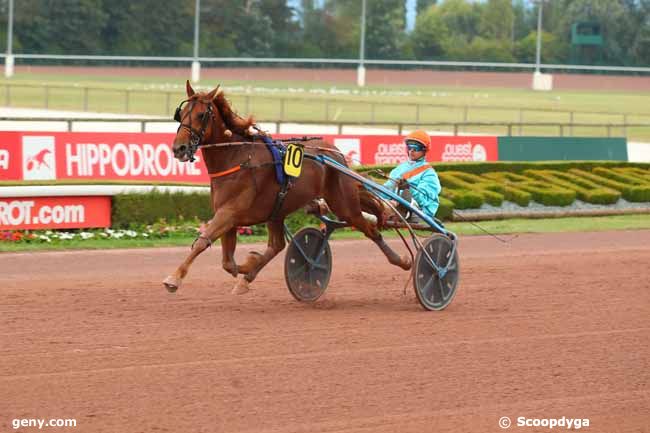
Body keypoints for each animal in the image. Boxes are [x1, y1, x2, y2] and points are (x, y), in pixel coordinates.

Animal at [161, 81, 410, 294]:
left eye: (201, 115)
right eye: (181, 114)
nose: (179, 148)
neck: (236, 156)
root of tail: (336, 154)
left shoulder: (229, 213)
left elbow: (202, 243)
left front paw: (174, 278)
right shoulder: (228, 216)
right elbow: (228, 263)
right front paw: (248, 267)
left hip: (344, 205)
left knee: (371, 230)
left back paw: (404, 261)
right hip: (278, 210)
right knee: (277, 245)